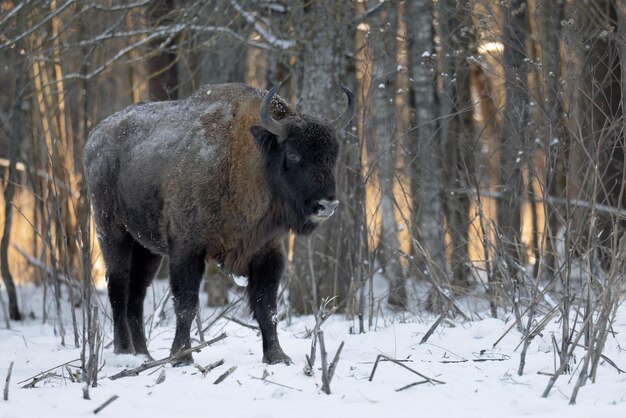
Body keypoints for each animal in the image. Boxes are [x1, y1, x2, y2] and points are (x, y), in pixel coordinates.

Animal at [83, 83, 356, 364]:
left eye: (333, 155)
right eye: (292, 154)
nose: (327, 205)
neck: (242, 161)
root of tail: (95, 138)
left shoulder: (267, 252)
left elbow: (267, 307)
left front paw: (277, 356)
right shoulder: (186, 250)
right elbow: (186, 305)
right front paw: (181, 357)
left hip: (147, 249)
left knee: (137, 293)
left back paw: (143, 355)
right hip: (111, 231)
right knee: (118, 286)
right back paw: (124, 351)